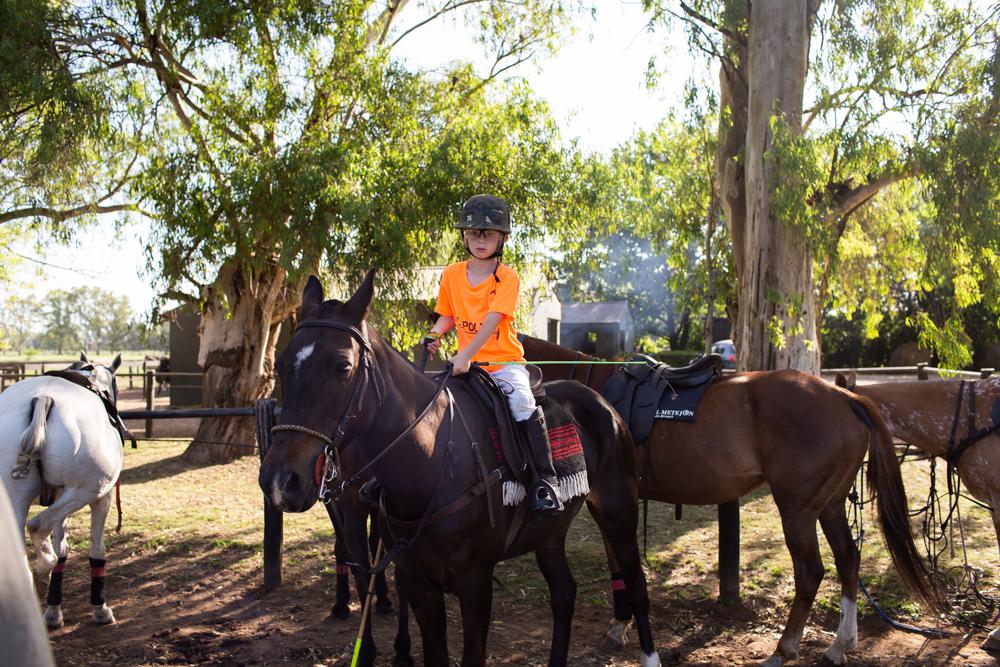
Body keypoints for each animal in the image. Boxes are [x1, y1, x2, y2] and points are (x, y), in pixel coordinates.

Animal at [0, 354, 124, 632]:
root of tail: (43, 398)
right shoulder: (101, 499)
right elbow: (96, 551)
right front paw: (100, 609)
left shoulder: (58, 499)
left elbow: (63, 550)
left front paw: (54, 611)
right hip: (84, 491)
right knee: (37, 525)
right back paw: (43, 570)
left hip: (17, 497)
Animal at [262, 272, 660, 667]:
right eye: (281, 365)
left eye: (343, 366)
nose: (280, 480)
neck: (432, 461)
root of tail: (604, 403)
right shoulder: (417, 582)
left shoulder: (475, 584)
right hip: (550, 534)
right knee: (564, 594)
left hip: (618, 512)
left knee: (636, 584)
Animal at [520, 340, 940, 667]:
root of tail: (846, 396)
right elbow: (618, 568)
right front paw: (620, 625)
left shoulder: (609, 505)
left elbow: (618, 565)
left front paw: (619, 626)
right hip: (832, 505)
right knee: (848, 559)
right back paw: (840, 644)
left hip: (798, 509)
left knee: (810, 572)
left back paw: (783, 649)